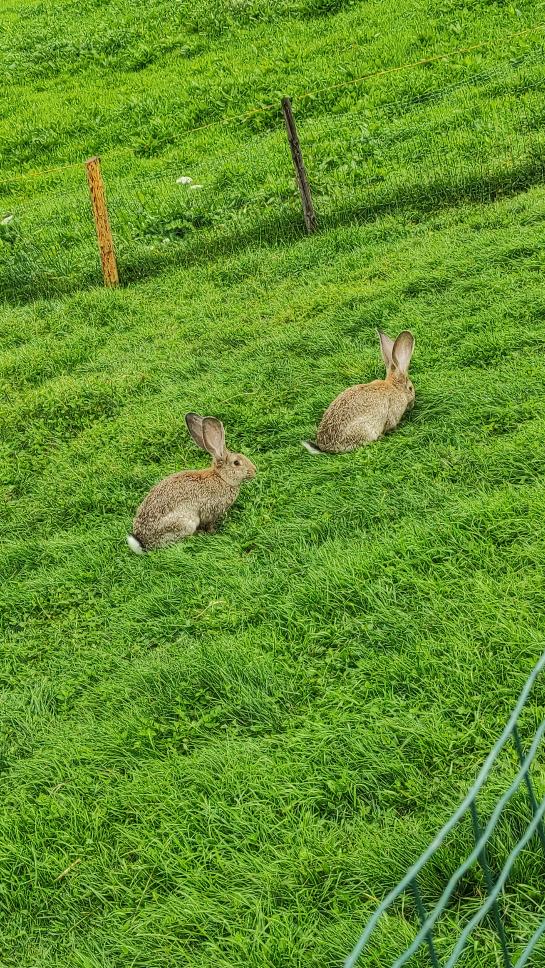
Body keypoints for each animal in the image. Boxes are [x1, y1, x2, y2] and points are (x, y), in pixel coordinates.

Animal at [126, 414, 256, 556]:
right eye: (237, 463)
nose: (254, 471)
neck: (221, 478)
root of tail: (143, 544)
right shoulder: (210, 511)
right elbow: (209, 524)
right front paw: (213, 532)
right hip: (185, 523)